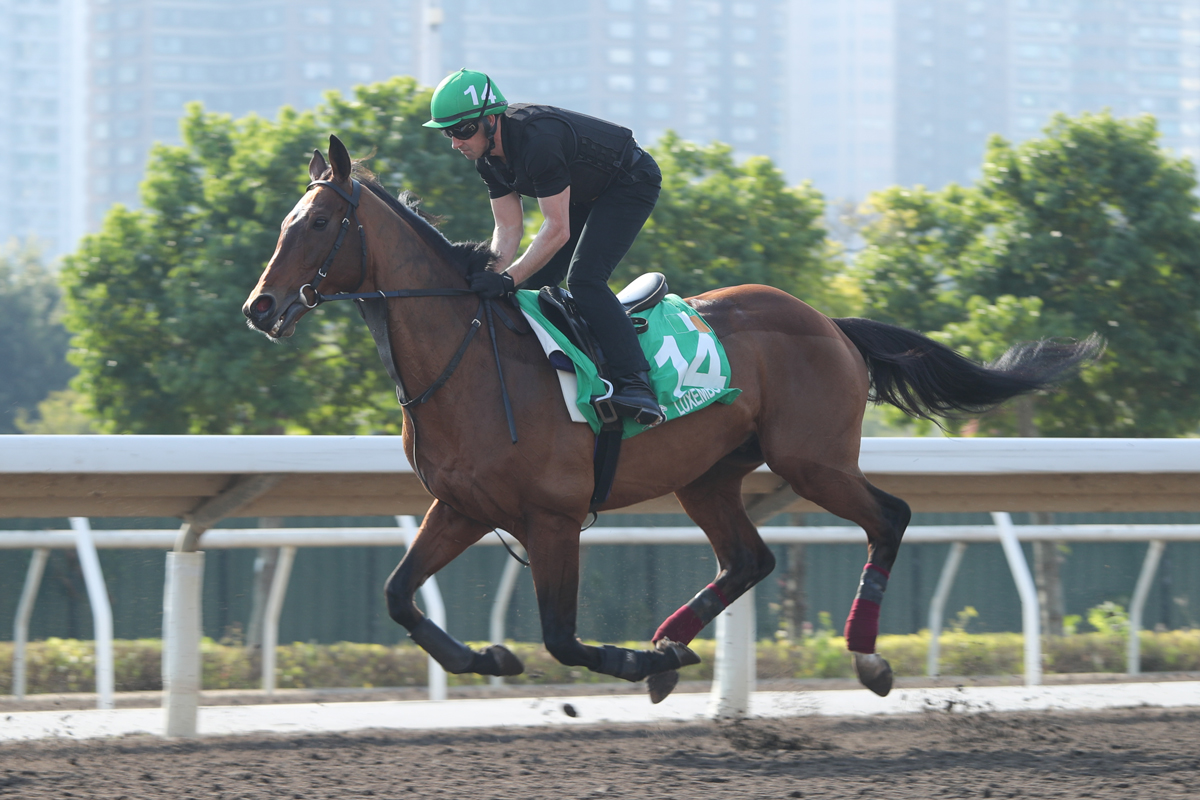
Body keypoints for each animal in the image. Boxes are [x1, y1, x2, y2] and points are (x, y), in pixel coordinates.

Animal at [238, 136, 1099, 700]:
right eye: (285, 222)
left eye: (318, 224)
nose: (261, 308)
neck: (471, 357)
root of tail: (829, 322)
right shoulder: (461, 506)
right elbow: (395, 595)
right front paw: (492, 660)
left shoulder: (552, 516)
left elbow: (562, 637)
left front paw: (623, 662)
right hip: (710, 475)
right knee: (749, 559)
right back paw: (672, 644)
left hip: (812, 460)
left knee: (888, 517)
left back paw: (863, 658)